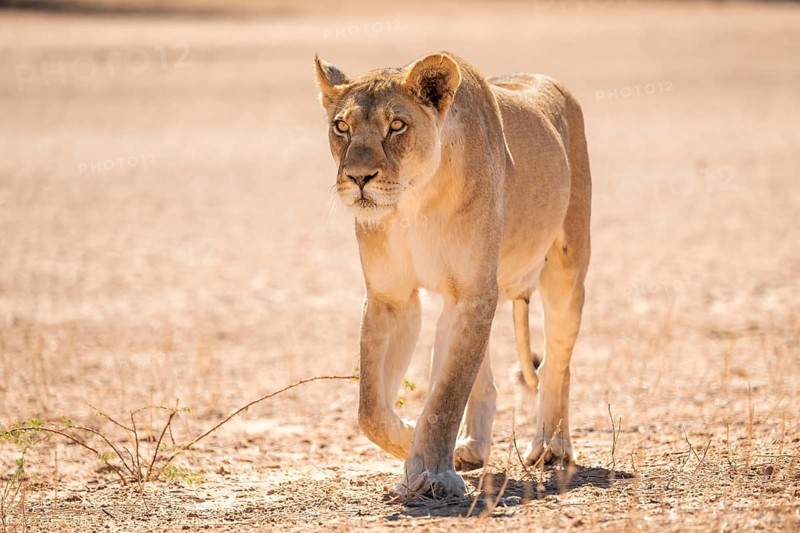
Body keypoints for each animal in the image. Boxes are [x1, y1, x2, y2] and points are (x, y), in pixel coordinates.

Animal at [314, 52, 591, 498]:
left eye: (397, 125)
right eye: (342, 127)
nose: (358, 178)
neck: (413, 203)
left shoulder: (473, 294)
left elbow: (444, 399)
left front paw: (436, 474)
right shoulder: (392, 297)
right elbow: (371, 409)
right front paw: (411, 446)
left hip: (566, 273)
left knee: (555, 365)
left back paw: (553, 447)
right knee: (485, 380)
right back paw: (472, 448)